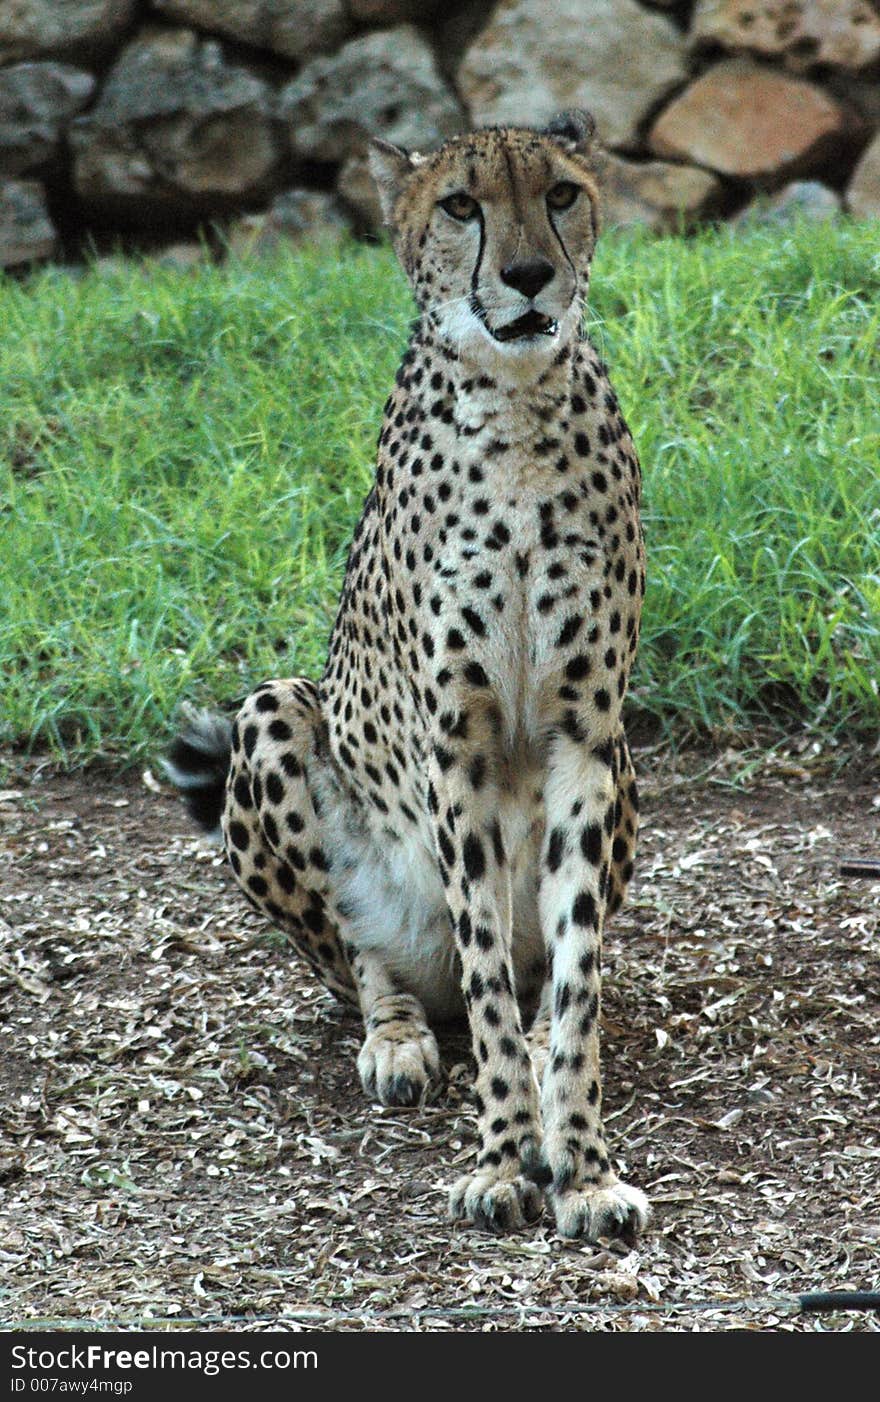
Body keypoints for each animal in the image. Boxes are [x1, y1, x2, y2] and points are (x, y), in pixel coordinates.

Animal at [166, 109, 647, 1244]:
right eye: (461, 204)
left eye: (561, 193)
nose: (527, 275)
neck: (517, 411)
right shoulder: (452, 747)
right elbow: (480, 969)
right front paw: (505, 1158)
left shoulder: (586, 736)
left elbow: (574, 978)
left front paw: (582, 1165)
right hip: (276, 713)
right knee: (373, 963)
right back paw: (396, 1034)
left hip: (630, 767)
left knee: (532, 970)